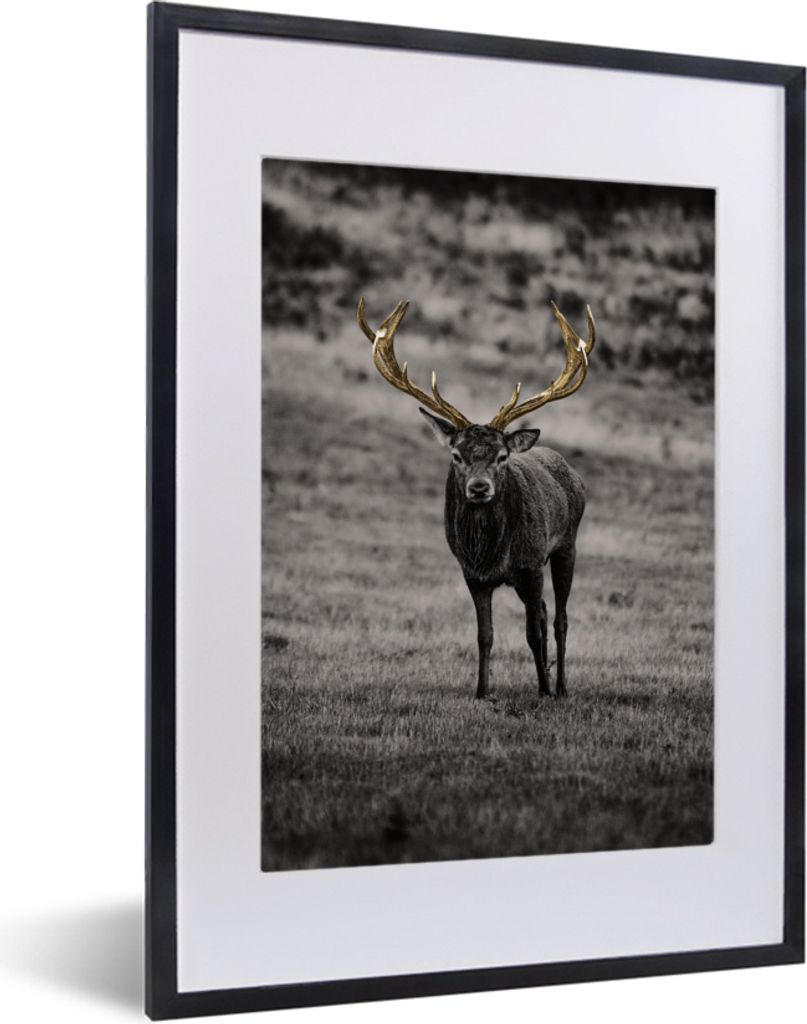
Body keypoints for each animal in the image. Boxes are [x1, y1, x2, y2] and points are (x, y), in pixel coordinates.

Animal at [357, 296, 596, 700]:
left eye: (501, 457)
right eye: (456, 455)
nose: (479, 488)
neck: (492, 552)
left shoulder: (531, 563)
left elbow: (533, 632)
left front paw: (543, 690)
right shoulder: (472, 574)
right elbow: (485, 634)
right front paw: (483, 691)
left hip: (567, 545)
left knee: (559, 618)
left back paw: (560, 687)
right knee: (544, 611)